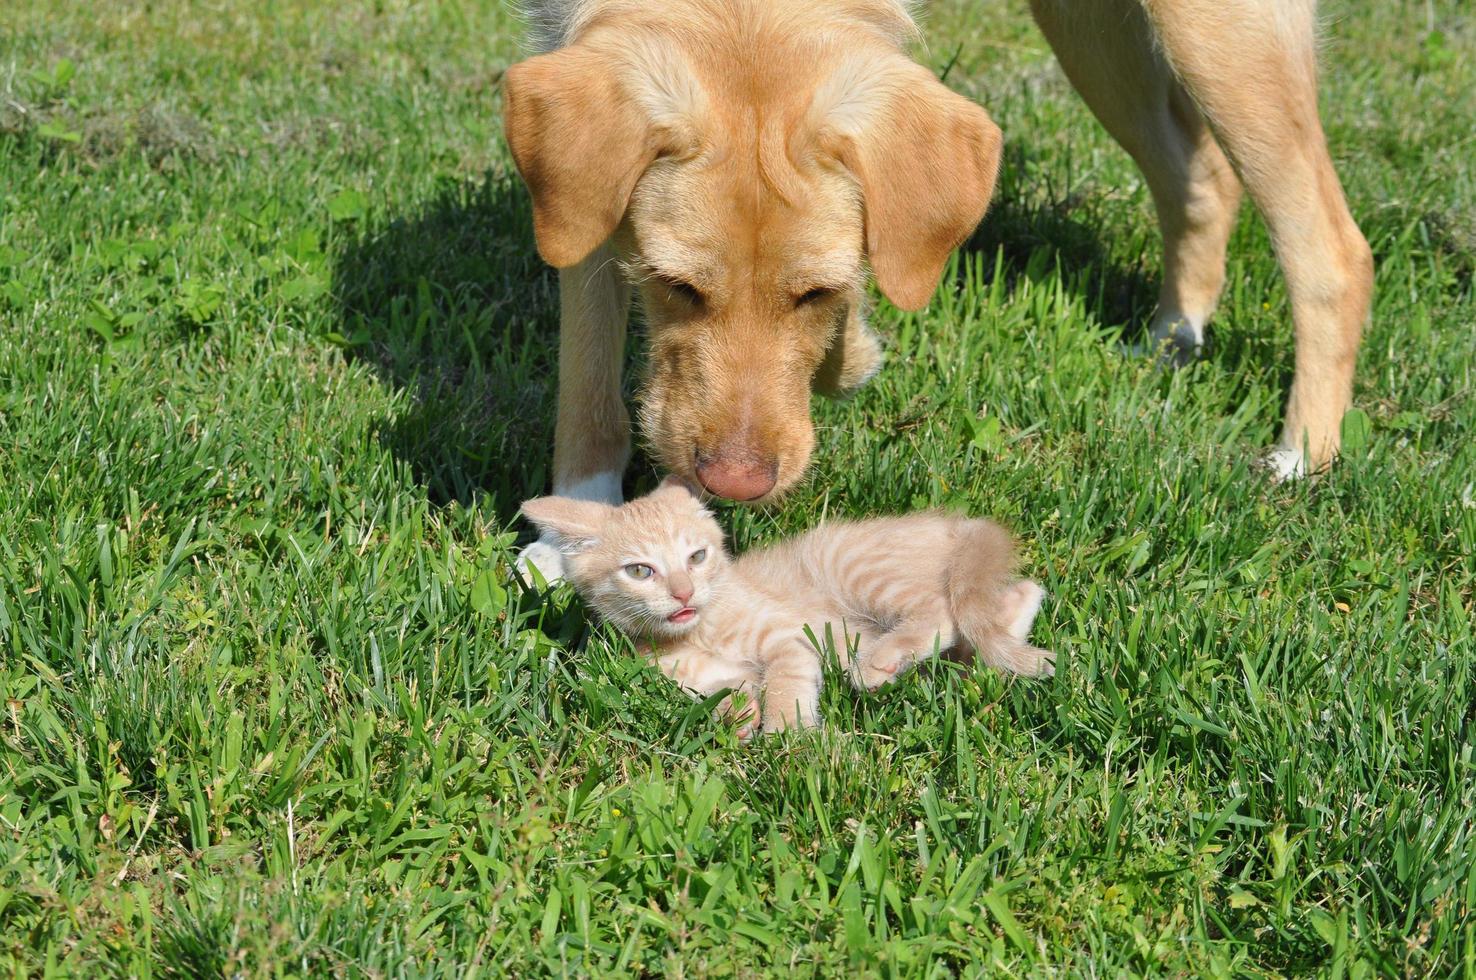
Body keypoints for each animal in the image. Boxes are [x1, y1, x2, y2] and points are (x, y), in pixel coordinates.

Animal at [507, 1, 1369, 575]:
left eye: (813, 294)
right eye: (673, 285)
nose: (736, 486)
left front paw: (852, 353)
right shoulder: (577, 190)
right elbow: (587, 373)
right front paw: (581, 524)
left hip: (1211, 34)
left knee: (1333, 251)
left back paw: (1301, 455)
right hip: (1097, 26)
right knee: (1201, 180)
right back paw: (1173, 338)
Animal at [519, 478, 1050, 737]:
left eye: (697, 557)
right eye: (640, 571)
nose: (684, 594)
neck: (697, 633)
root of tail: (955, 525)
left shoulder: (787, 637)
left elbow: (785, 680)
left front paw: (788, 735)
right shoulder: (690, 677)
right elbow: (722, 690)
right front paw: (738, 717)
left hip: (850, 564)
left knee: (945, 611)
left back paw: (880, 662)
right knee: (1011, 601)